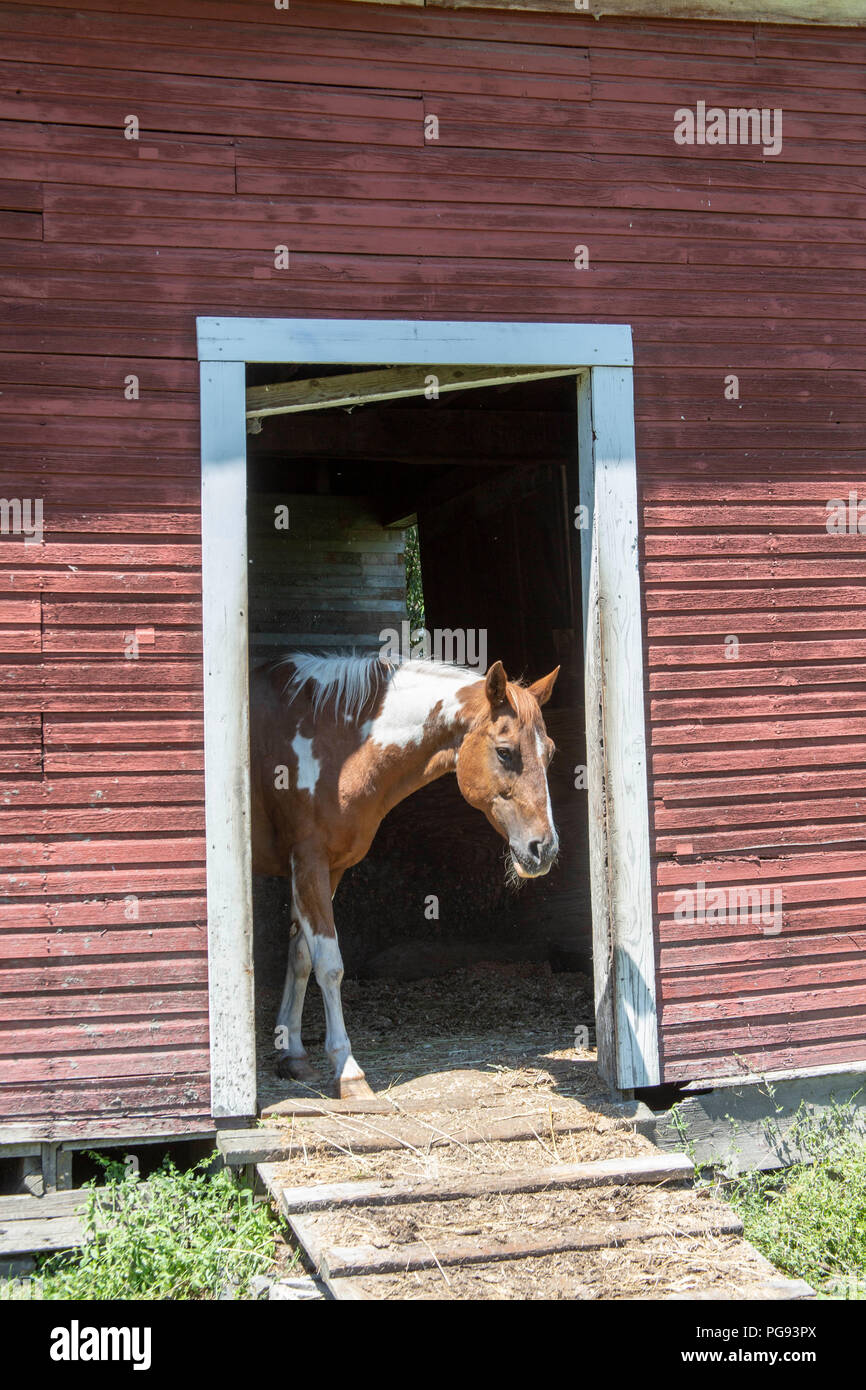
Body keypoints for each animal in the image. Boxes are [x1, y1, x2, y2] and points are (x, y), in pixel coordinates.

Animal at [250, 652, 560, 1098]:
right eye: (504, 752)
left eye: (549, 753)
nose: (544, 848)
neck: (330, 739)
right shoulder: (308, 861)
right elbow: (329, 965)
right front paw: (348, 1071)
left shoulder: (328, 868)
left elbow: (300, 958)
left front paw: (292, 1055)